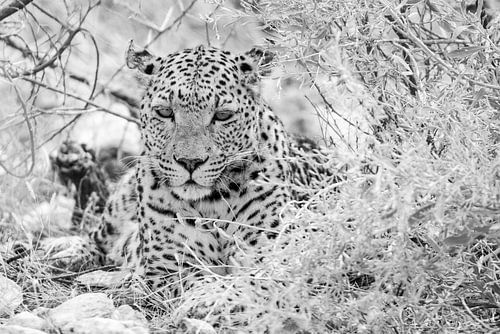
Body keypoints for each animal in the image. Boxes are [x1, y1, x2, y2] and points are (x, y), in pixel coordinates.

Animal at [49, 41, 340, 294]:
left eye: (222, 115)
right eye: (165, 112)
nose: (190, 162)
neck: (214, 204)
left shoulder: (270, 252)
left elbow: (251, 282)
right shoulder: (167, 266)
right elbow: (200, 281)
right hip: (119, 201)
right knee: (96, 237)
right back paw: (64, 253)